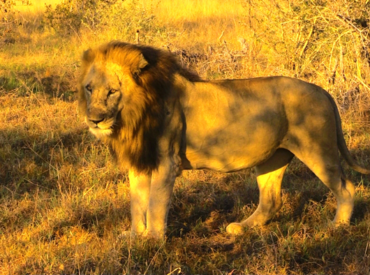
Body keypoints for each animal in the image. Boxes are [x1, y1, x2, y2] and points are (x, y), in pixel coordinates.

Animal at [78, 40, 370, 239]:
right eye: (89, 88)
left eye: (112, 92)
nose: (94, 120)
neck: (132, 117)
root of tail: (323, 91)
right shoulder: (140, 160)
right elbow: (136, 202)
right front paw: (134, 237)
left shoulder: (166, 161)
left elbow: (155, 203)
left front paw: (153, 240)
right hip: (272, 157)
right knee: (271, 199)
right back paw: (241, 228)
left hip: (318, 150)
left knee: (346, 187)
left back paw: (337, 226)